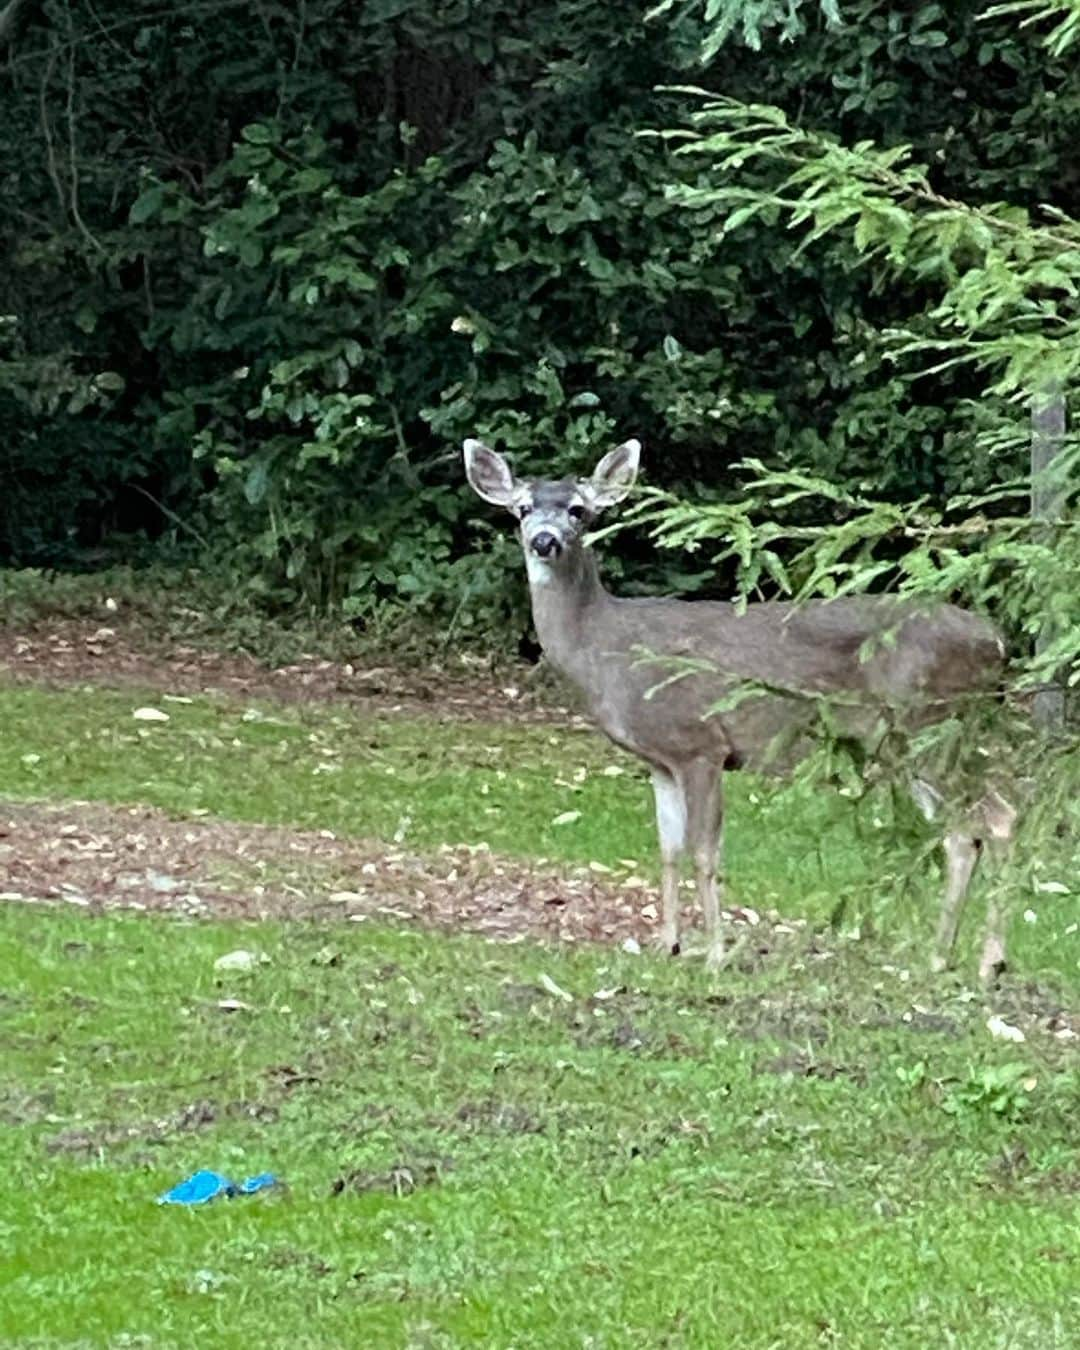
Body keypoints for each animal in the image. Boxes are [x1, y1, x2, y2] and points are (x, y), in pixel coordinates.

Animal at [467, 437, 1020, 977]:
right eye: (521, 509)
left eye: (578, 510)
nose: (545, 540)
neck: (607, 650)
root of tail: (996, 641)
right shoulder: (659, 761)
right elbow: (668, 850)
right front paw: (666, 945)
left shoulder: (700, 743)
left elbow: (704, 852)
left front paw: (715, 955)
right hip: (916, 740)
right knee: (960, 832)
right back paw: (942, 957)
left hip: (929, 723)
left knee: (995, 816)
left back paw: (987, 961)